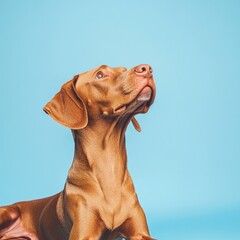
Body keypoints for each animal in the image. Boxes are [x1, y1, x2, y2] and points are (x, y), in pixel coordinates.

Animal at [0, 64, 157, 239]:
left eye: (123, 69)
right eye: (100, 75)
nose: (146, 68)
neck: (109, 167)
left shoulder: (140, 233)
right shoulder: (83, 233)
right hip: (8, 212)